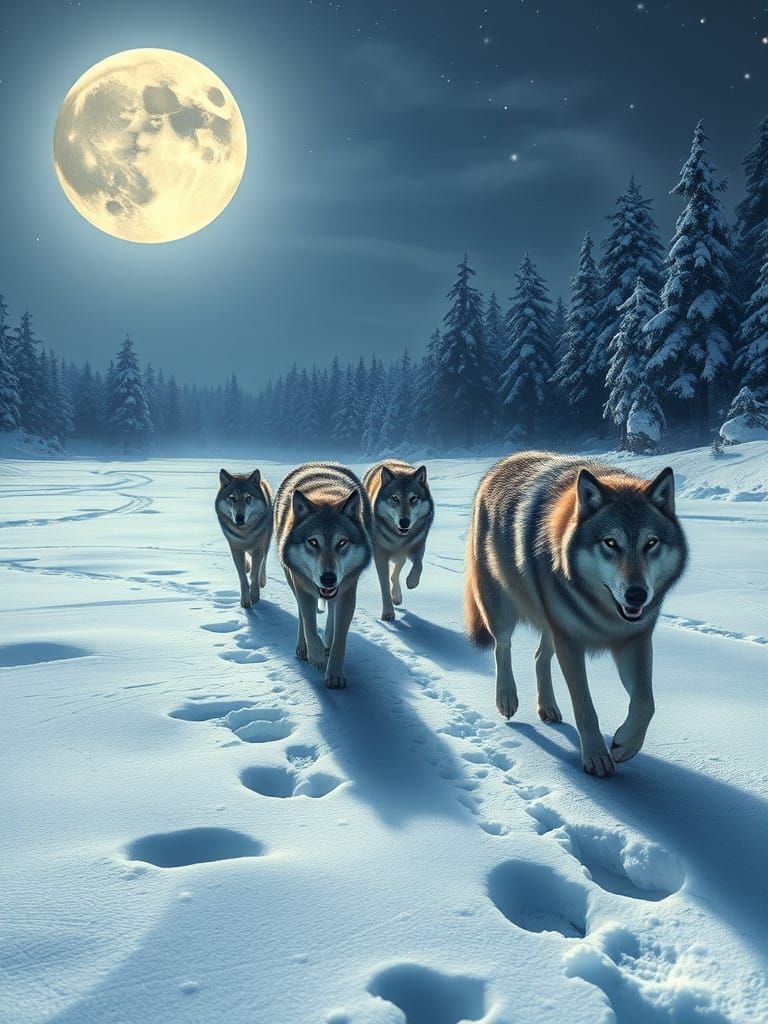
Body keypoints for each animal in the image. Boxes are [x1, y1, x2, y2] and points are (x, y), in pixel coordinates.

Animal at [215, 468, 273, 608]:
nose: (240, 519)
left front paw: (254, 596)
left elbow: (255, 573)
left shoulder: (258, 548)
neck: (245, 533)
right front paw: (245, 601)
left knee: (264, 561)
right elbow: (242, 577)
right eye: (232, 498)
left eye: (248, 498)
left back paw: (262, 580)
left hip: (267, 541)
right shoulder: (235, 549)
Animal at [274, 462, 372, 688]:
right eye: (313, 542)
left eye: (342, 542)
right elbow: (309, 623)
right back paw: (304, 648)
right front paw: (316, 656)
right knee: (302, 615)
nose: (328, 578)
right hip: (292, 578)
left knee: (332, 616)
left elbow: (339, 638)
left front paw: (334, 674)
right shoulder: (301, 585)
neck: (325, 494)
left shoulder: (348, 590)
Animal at [362, 460, 434, 621]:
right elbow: (384, 587)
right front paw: (388, 613)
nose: (404, 522)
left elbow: (419, 565)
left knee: (395, 574)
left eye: (413, 498)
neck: (399, 539)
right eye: (395, 498)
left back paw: (397, 596)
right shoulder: (380, 556)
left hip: (401, 556)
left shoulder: (418, 545)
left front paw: (412, 582)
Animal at [464, 451, 688, 777]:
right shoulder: (570, 642)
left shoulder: (635, 641)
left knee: (538, 656)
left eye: (651, 543)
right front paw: (596, 757)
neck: (605, 616)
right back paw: (506, 698)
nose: (637, 594)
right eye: (611, 542)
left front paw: (625, 745)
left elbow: (646, 702)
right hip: (502, 609)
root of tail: (505, 461)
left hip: (551, 624)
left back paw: (547, 706)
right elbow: (585, 707)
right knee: (501, 647)